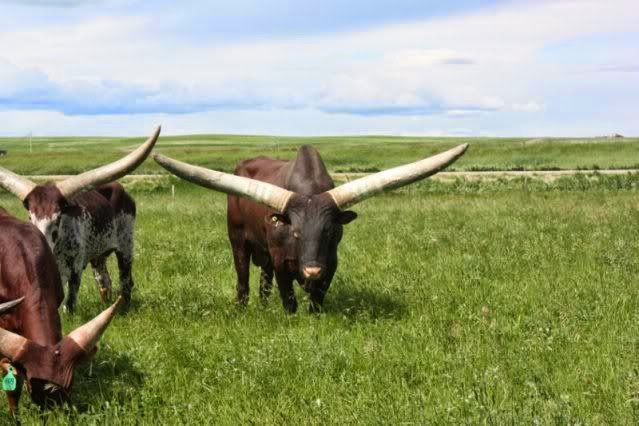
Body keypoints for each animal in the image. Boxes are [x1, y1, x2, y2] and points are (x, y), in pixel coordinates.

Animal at [0, 125, 162, 312]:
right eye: (30, 217)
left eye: (57, 219)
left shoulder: (75, 266)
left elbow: (71, 298)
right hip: (98, 254)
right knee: (104, 280)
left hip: (126, 245)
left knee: (126, 279)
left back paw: (124, 306)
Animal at [152, 143, 468, 312]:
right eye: (295, 232)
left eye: (330, 231)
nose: (312, 270)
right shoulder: (281, 261)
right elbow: (289, 298)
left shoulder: (331, 262)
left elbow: (317, 298)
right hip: (237, 240)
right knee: (243, 278)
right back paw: (242, 307)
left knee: (263, 280)